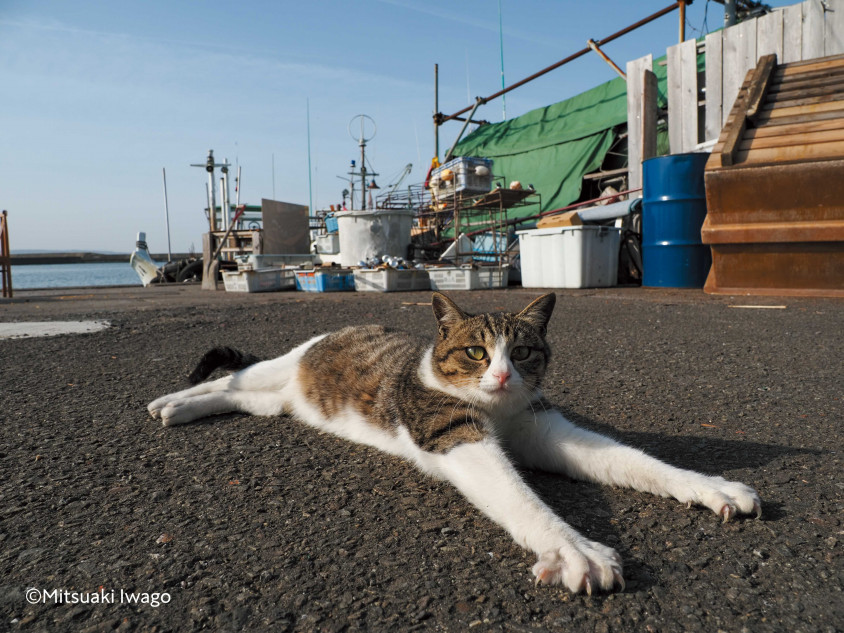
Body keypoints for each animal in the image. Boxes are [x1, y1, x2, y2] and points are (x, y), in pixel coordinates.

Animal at [148, 292, 760, 592]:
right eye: (475, 352)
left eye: (524, 352)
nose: (503, 375)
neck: (498, 409)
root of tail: (348, 326)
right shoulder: (453, 434)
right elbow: (521, 498)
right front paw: (575, 549)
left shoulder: (545, 431)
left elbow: (636, 462)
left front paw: (709, 487)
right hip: (283, 365)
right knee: (230, 377)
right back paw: (173, 401)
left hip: (281, 401)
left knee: (242, 397)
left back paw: (186, 408)